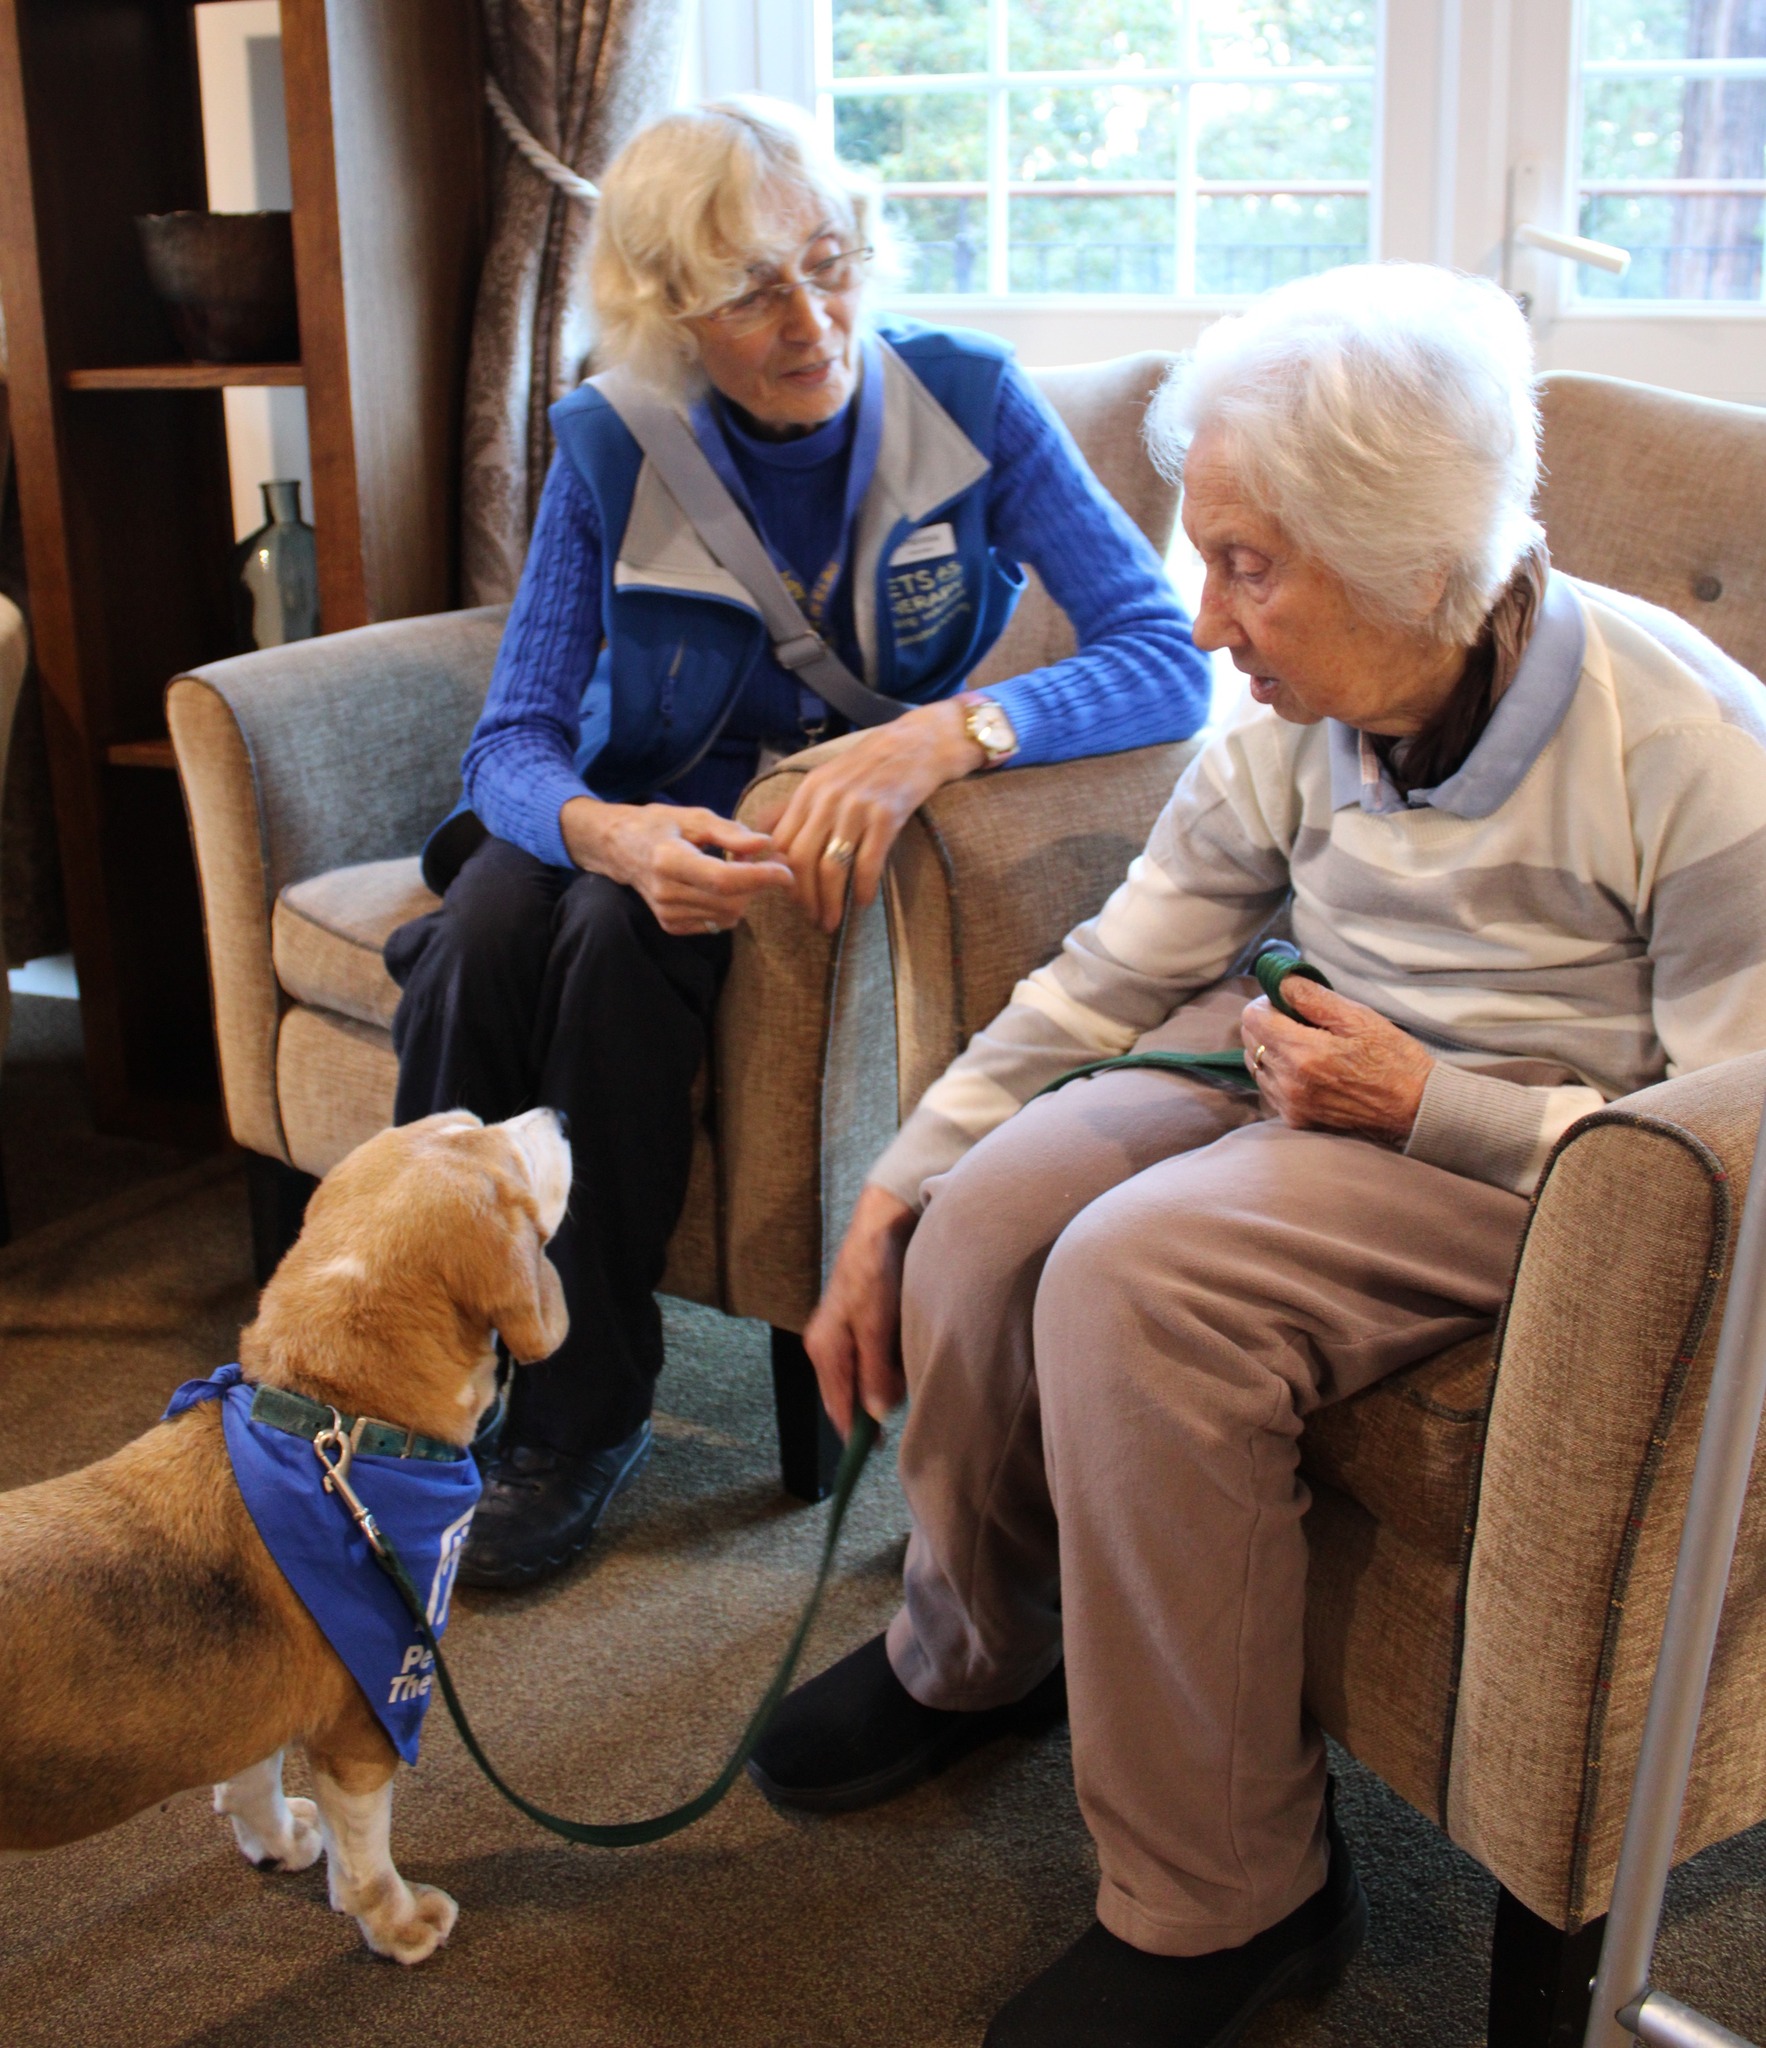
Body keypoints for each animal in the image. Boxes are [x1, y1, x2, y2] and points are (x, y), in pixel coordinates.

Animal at [0, 1108, 571, 1962]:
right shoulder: (365, 1725)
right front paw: (397, 1923)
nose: (556, 1116)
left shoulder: (254, 1711)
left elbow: (249, 1780)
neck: (336, 1421)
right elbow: (365, 1855)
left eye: (463, 1120)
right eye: (507, 1153)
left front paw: (274, 1841)